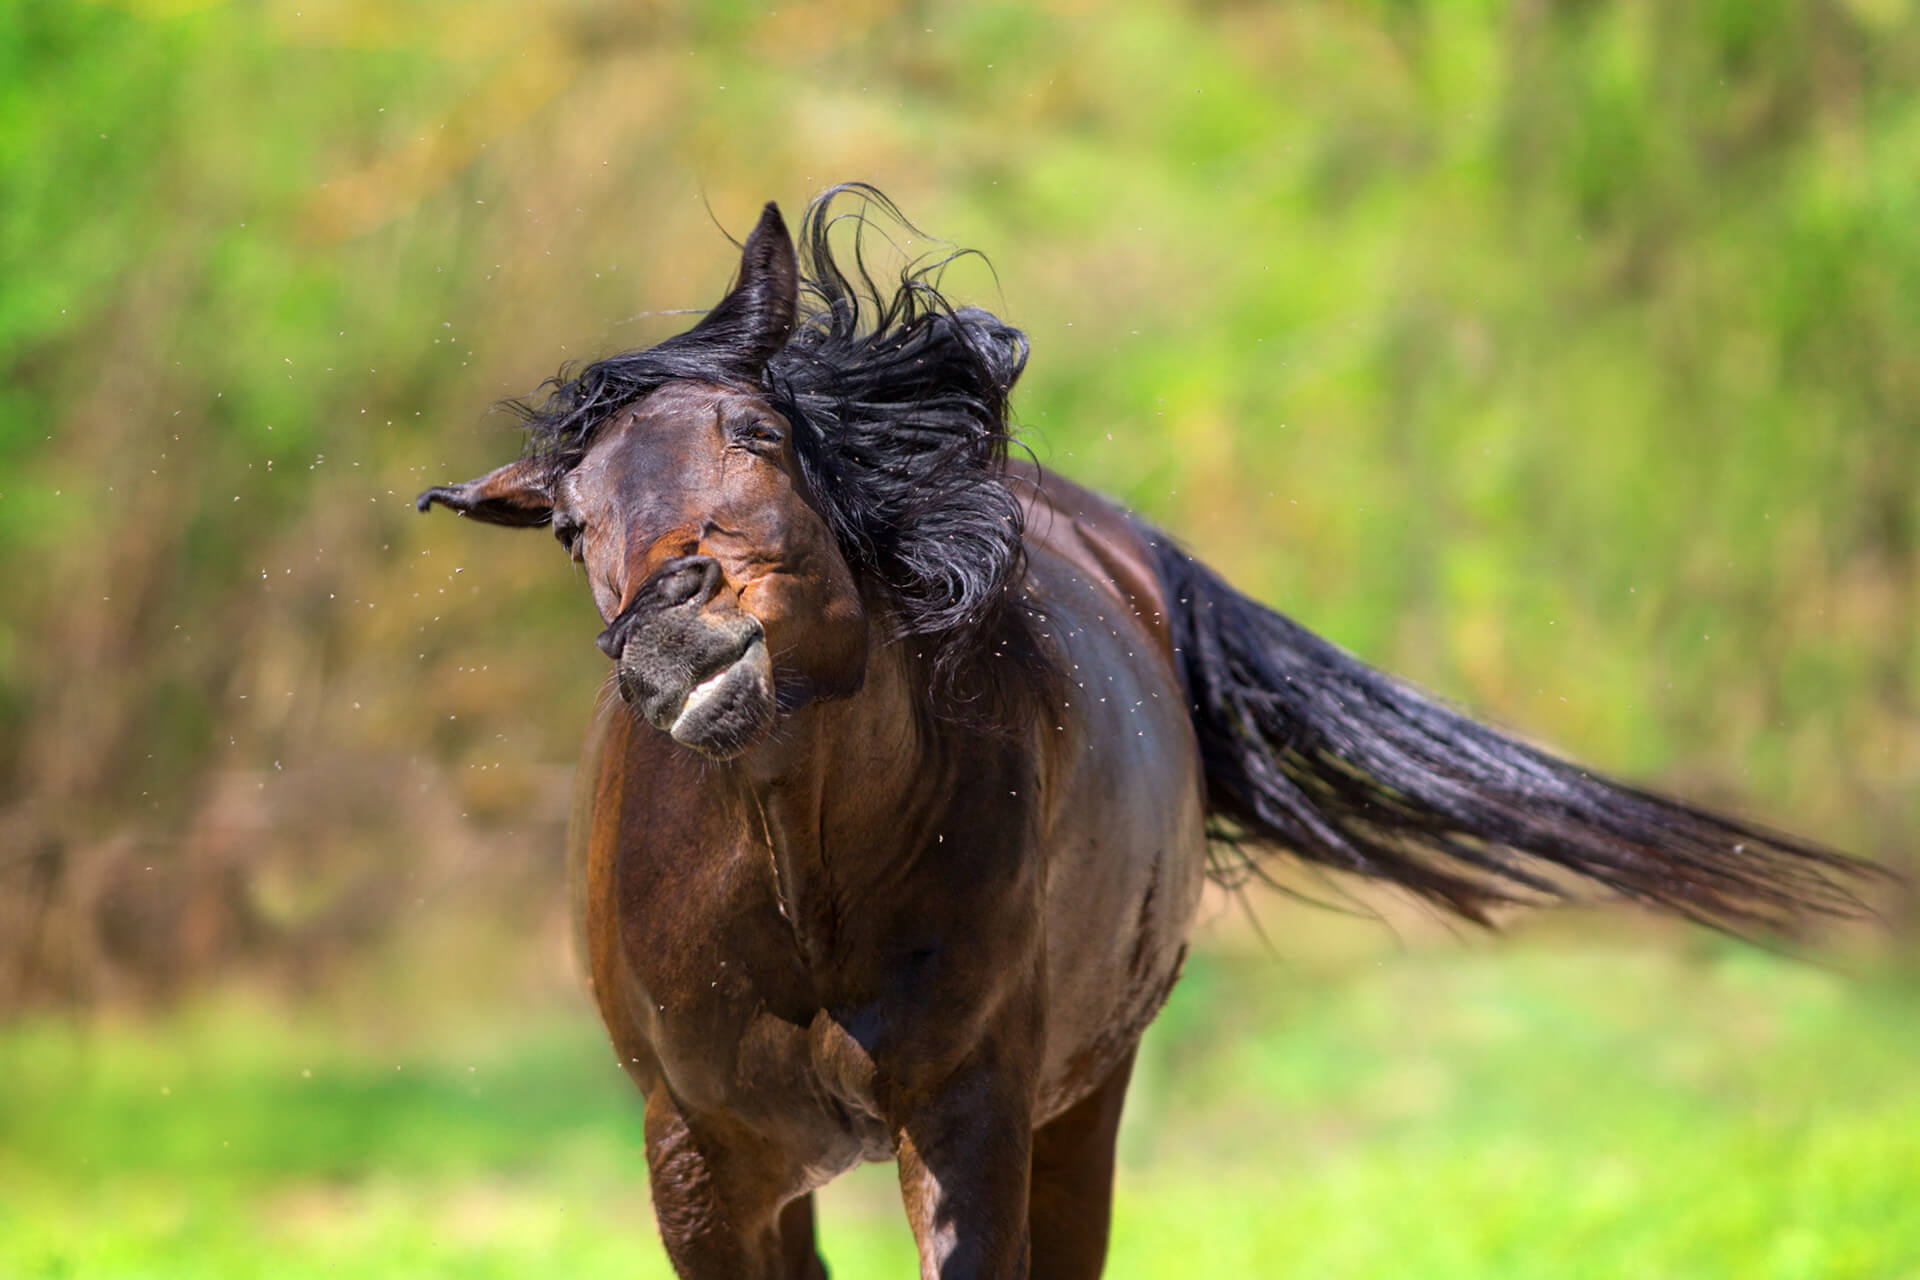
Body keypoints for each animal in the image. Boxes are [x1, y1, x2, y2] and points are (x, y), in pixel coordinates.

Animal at [416, 185, 1873, 1274]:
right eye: (572, 524)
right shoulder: (702, 1160)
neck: (804, 884)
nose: (675, 631)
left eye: (758, 430)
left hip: (1083, 1103)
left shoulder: (973, 1117)